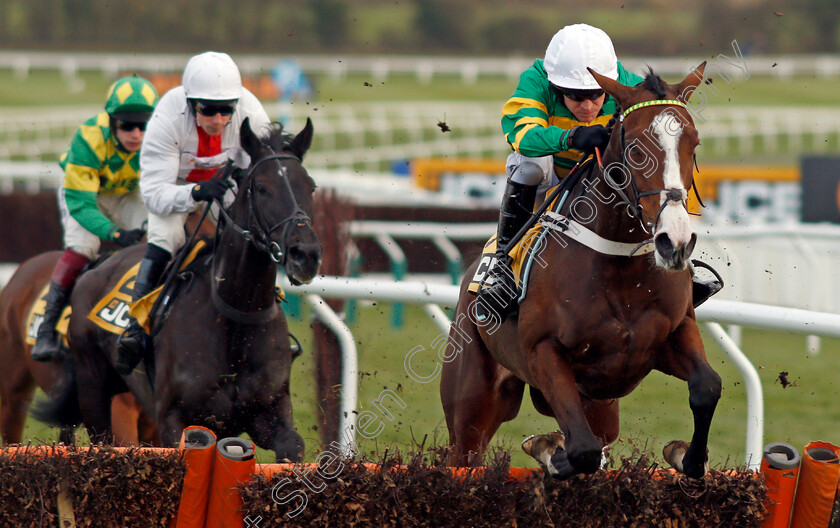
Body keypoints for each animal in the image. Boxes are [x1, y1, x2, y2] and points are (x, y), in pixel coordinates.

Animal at [41, 117, 322, 460]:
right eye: (261, 188)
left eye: (310, 186)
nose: (305, 254)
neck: (236, 315)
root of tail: (98, 264)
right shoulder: (174, 419)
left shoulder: (270, 411)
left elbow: (292, 448)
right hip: (92, 387)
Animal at [440, 62, 720, 478]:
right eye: (635, 149)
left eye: (694, 144)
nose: (676, 241)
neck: (620, 271)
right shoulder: (544, 354)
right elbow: (582, 450)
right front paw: (548, 451)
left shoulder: (673, 332)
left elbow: (707, 386)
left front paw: (688, 456)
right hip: (472, 403)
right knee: (464, 452)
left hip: (601, 405)